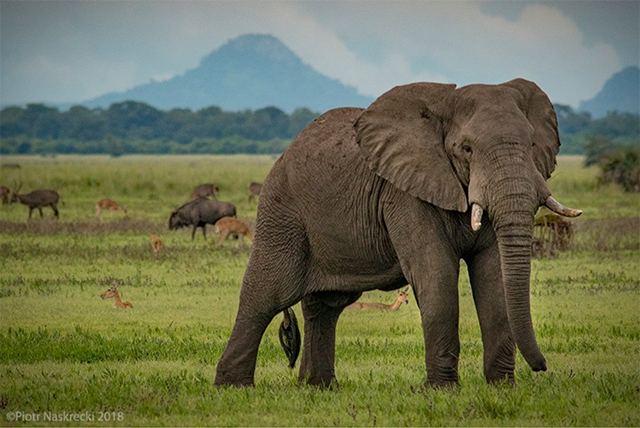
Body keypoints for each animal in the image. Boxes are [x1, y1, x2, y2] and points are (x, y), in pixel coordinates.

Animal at [215, 77, 580, 388]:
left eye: (532, 144)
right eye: (467, 149)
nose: (542, 367)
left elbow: (493, 277)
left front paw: (502, 387)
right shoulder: (404, 194)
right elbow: (435, 273)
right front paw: (443, 391)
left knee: (326, 305)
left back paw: (319, 387)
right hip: (283, 212)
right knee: (266, 294)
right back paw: (234, 387)